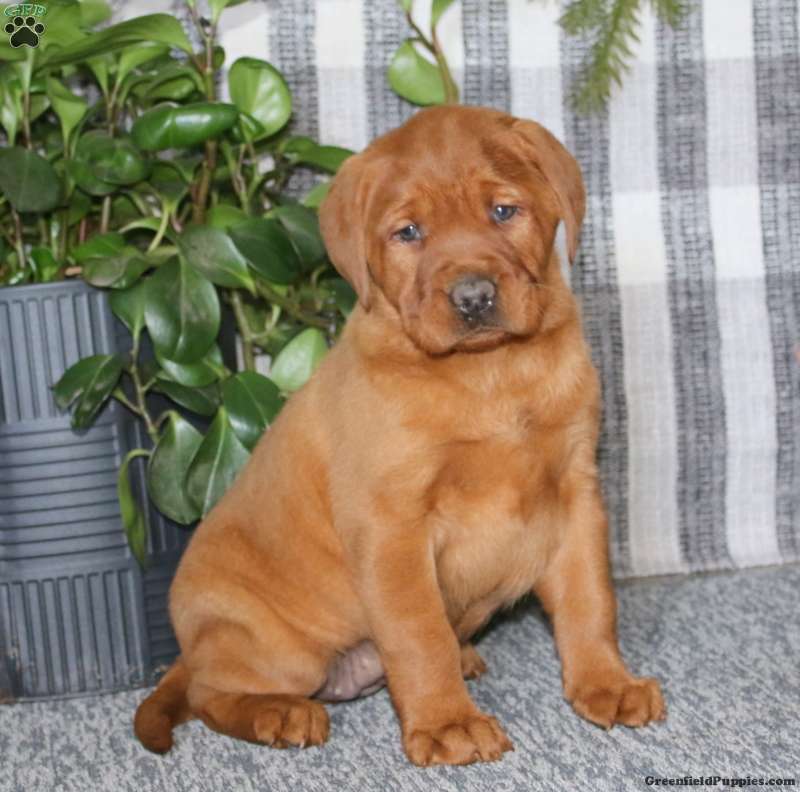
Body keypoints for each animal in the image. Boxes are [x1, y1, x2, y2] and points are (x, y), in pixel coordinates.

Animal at [134, 105, 665, 767]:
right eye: (408, 232)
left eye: (503, 211)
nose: (473, 297)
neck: (491, 373)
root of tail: (191, 645)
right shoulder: (392, 525)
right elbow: (419, 632)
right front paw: (446, 724)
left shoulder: (574, 490)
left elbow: (590, 599)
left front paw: (607, 684)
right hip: (277, 648)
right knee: (209, 693)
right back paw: (279, 713)